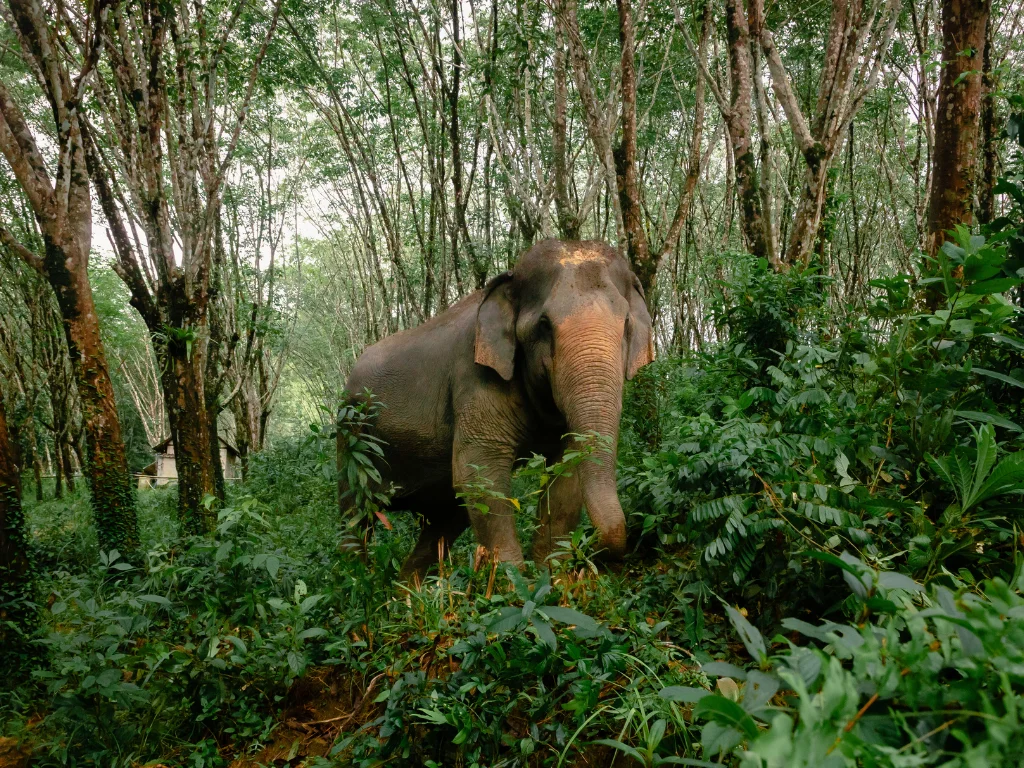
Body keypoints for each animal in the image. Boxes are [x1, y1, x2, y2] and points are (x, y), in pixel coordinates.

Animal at [339, 239, 654, 581]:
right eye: (544, 325)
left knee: (446, 521)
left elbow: (566, 473)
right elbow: (480, 472)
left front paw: (552, 578)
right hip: (350, 439)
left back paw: (406, 590)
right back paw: (355, 580)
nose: (593, 555)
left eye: (626, 325)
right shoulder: (473, 375)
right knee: (355, 513)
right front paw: (516, 584)